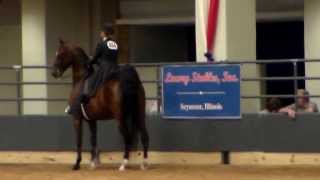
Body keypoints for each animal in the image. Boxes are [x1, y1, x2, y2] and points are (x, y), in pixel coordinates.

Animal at [51, 39, 149, 172]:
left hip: (120, 118)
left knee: (127, 137)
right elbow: (93, 139)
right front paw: (93, 163)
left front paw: (77, 164)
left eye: (60, 54)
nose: (54, 73)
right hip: (139, 114)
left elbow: (79, 141)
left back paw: (123, 164)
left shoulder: (77, 118)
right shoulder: (92, 120)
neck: (81, 79)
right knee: (144, 135)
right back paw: (144, 163)